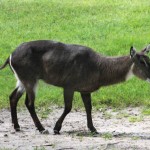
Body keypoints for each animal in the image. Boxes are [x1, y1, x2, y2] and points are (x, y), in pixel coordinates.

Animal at [0, 40, 150, 134]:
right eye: (142, 62)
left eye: (148, 59)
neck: (98, 67)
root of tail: (10, 56)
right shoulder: (69, 86)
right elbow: (68, 107)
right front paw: (56, 128)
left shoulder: (85, 90)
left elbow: (88, 108)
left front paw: (93, 129)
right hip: (30, 80)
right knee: (29, 103)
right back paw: (42, 128)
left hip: (22, 81)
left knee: (13, 97)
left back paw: (17, 127)